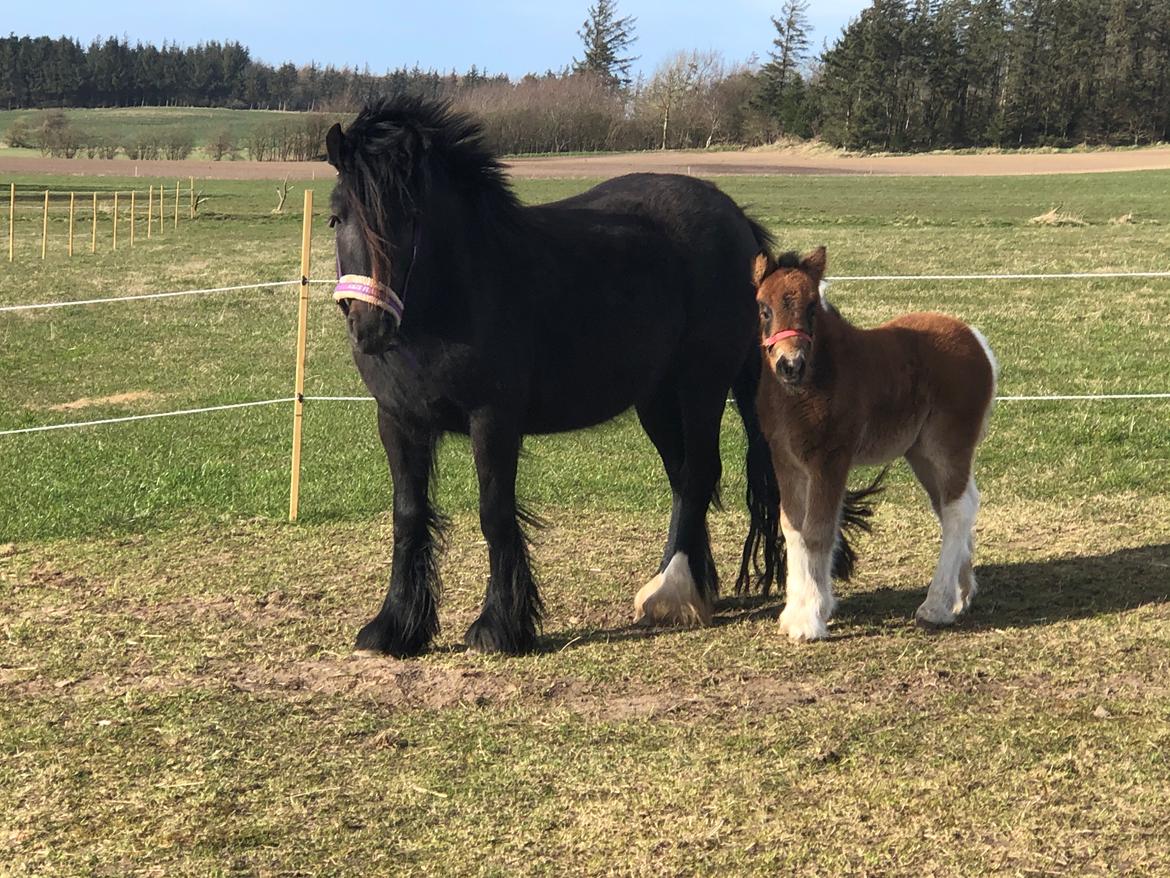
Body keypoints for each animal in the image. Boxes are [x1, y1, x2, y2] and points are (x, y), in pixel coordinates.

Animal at [325, 97, 856, 660]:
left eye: (410, 219)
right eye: (336, 217)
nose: (369, 326)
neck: (456, 292)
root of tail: (734, 215)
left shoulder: (493, 420)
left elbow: (494, 511)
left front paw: (499, 626)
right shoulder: (398, 421)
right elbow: (407, 514)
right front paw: (396, 625)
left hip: (701, 385)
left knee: (698, 472)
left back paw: (671, 591)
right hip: (657, 400)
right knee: (684, 477)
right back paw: (692, 584)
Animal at [758, 244, 996, 641]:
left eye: (811, 307)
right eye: (764, 308)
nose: (790, 364)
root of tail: (976, 340)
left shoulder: (830, 459)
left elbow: (818, 531)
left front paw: (811, 620)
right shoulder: (785, 460)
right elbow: (793, 529)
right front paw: (794, 613)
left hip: (949, 445)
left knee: (957, 509)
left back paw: (935, 606)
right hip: (922, 453)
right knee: (956, 504)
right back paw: (960, 596)